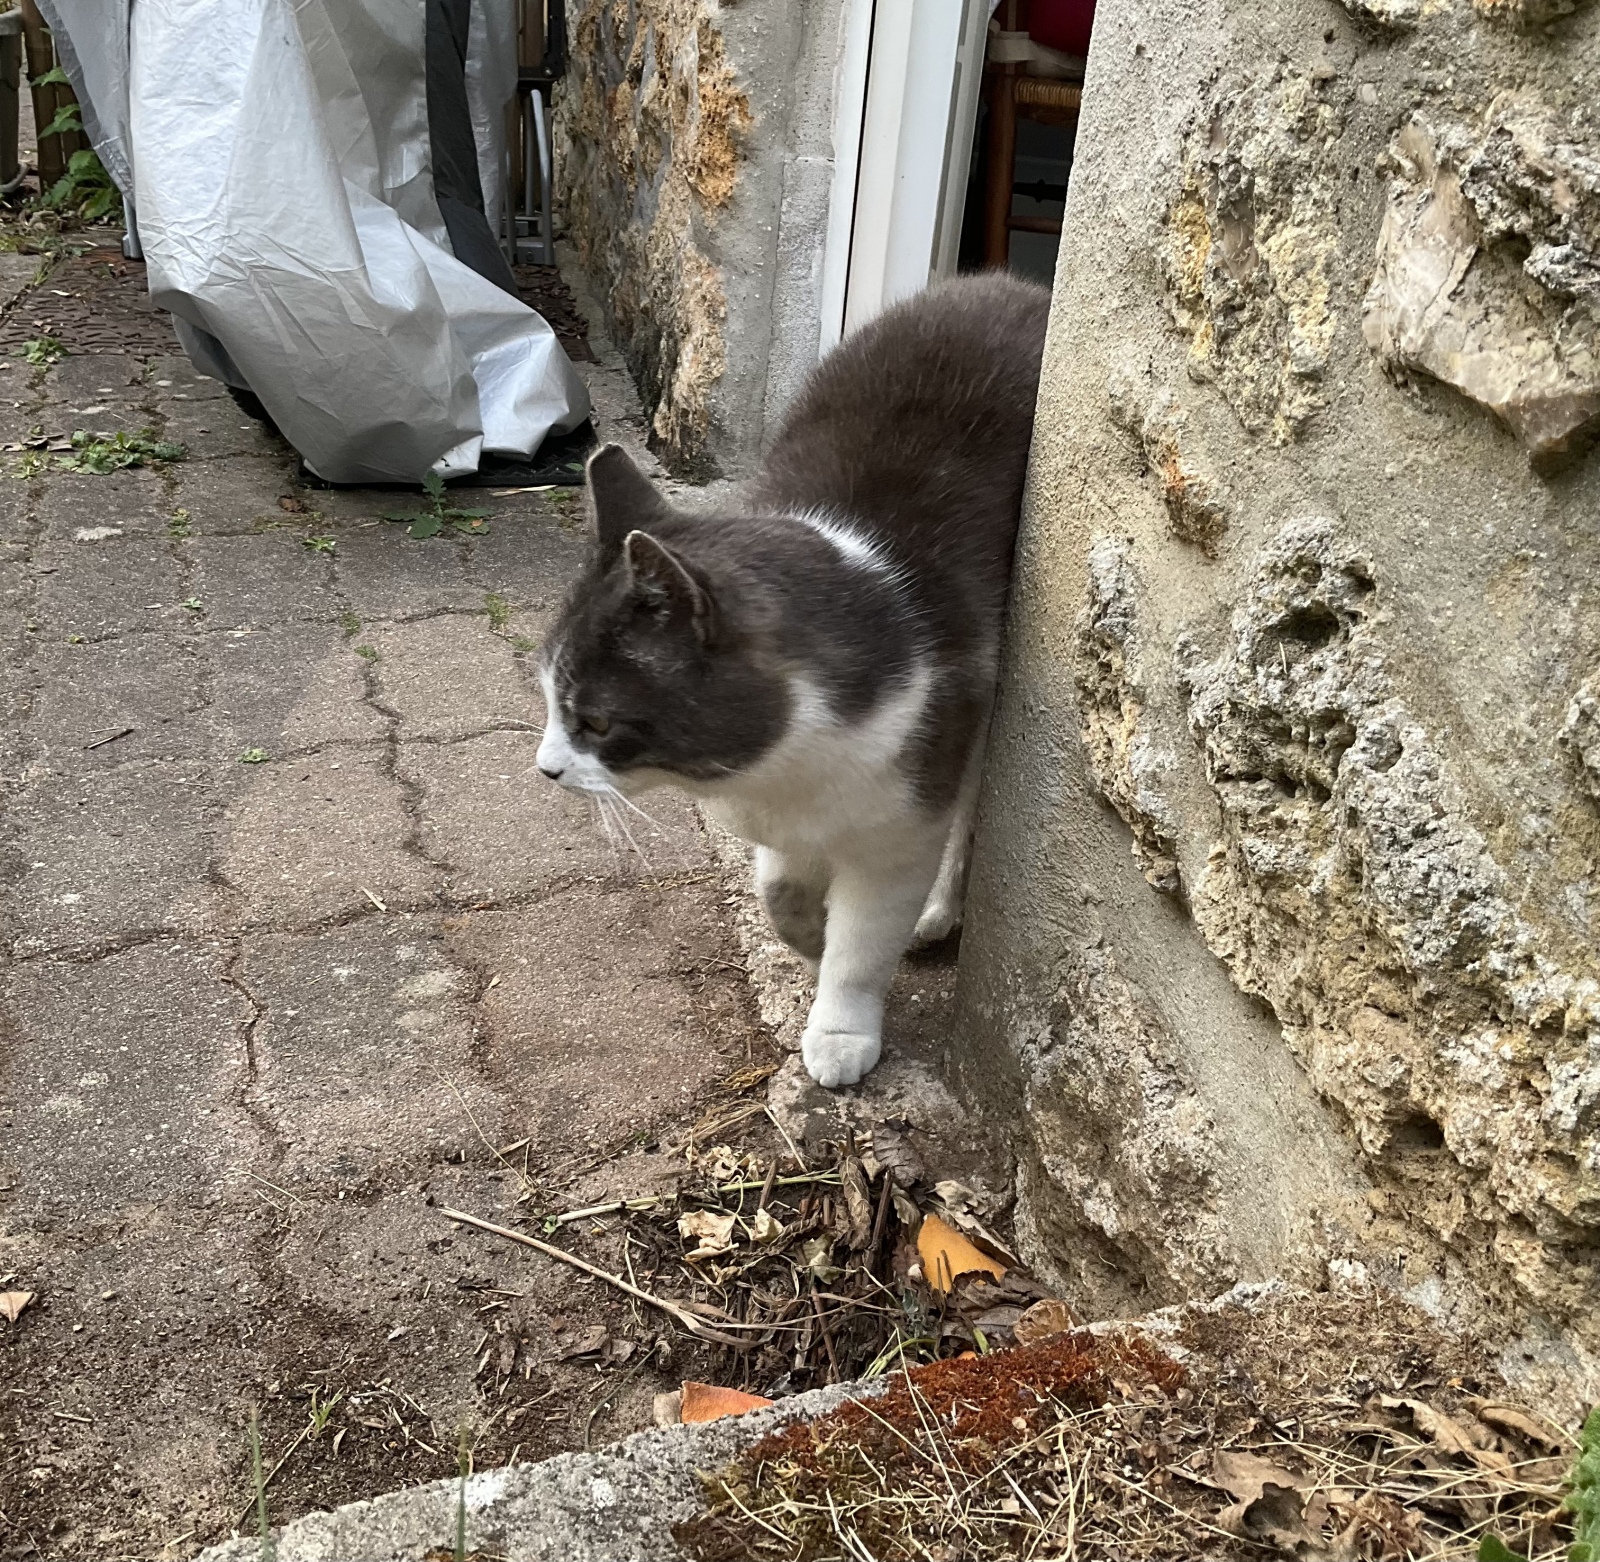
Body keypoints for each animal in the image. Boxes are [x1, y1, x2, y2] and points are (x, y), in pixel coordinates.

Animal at [536, 272, 1051, 1087]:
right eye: (549, 698)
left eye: (595, 721)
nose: (546, 767)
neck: (776, 774)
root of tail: (1016, 284)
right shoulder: (782, 823)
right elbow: (778, 893)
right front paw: (808, 938)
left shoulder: (902, 824)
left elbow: (865, 943)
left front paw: (841, 1030)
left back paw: (939, 911)